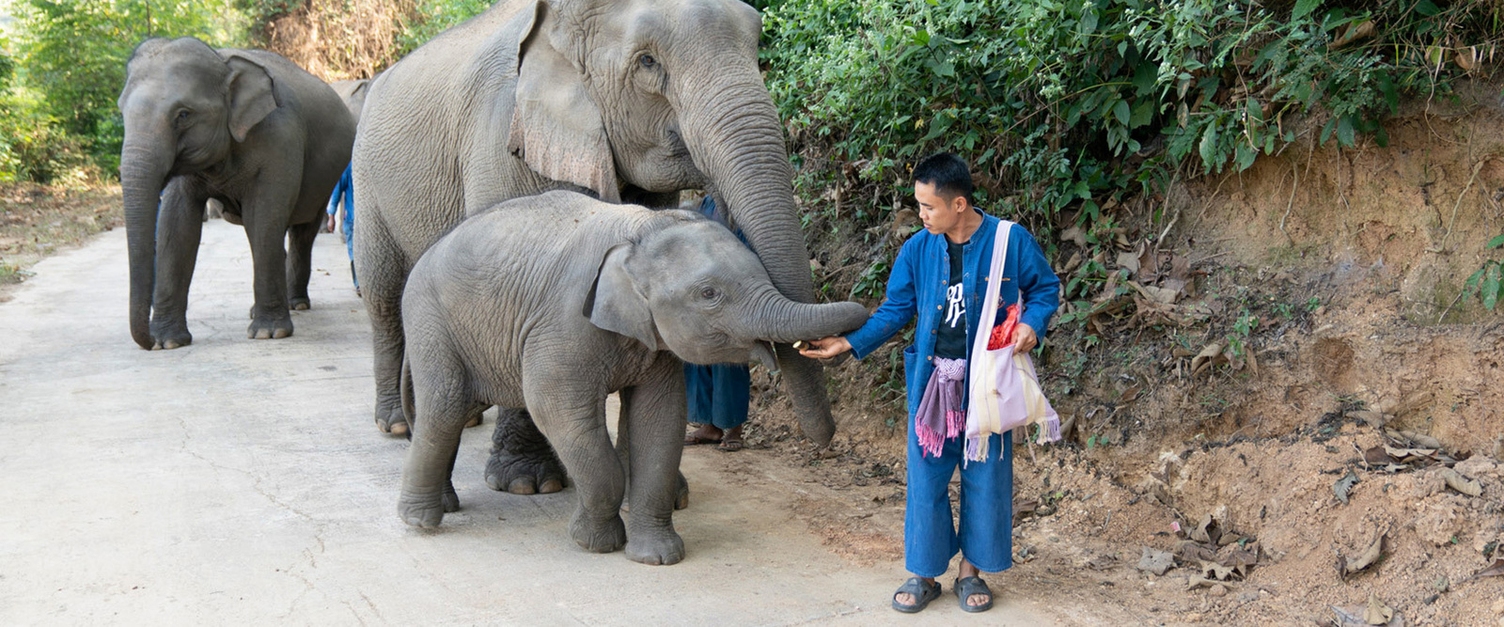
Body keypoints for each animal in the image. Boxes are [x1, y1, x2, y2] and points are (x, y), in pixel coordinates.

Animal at [117, 37, 356, 349]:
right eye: (122, 113)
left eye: (184, 114)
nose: (146, 342)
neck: (221, 62)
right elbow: (177, 224)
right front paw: (167, 342)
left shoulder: (280, 138)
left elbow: (263, 217)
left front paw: (268, 334)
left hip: (324, 178)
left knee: (301, 231)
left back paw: (296, 304)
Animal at [353, 0, 838, 495]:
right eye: (648, 62)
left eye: (756, 42)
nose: (826, 443)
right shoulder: (503, 134)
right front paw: (529, 483)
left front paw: (668, 493)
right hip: (366, 182)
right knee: (383, 293)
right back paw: (396, 424)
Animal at [398, 191, 869, 565]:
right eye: (709, 294)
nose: (828, 344)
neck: (641, 230)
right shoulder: (562, 324)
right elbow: (555, 408)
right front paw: (593, 543)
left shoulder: (655, 344)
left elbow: (660, 418)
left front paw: (658, 557)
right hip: (431, 321)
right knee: (445, 405)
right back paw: (420, 521)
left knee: (455, 409)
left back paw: (441, 506)